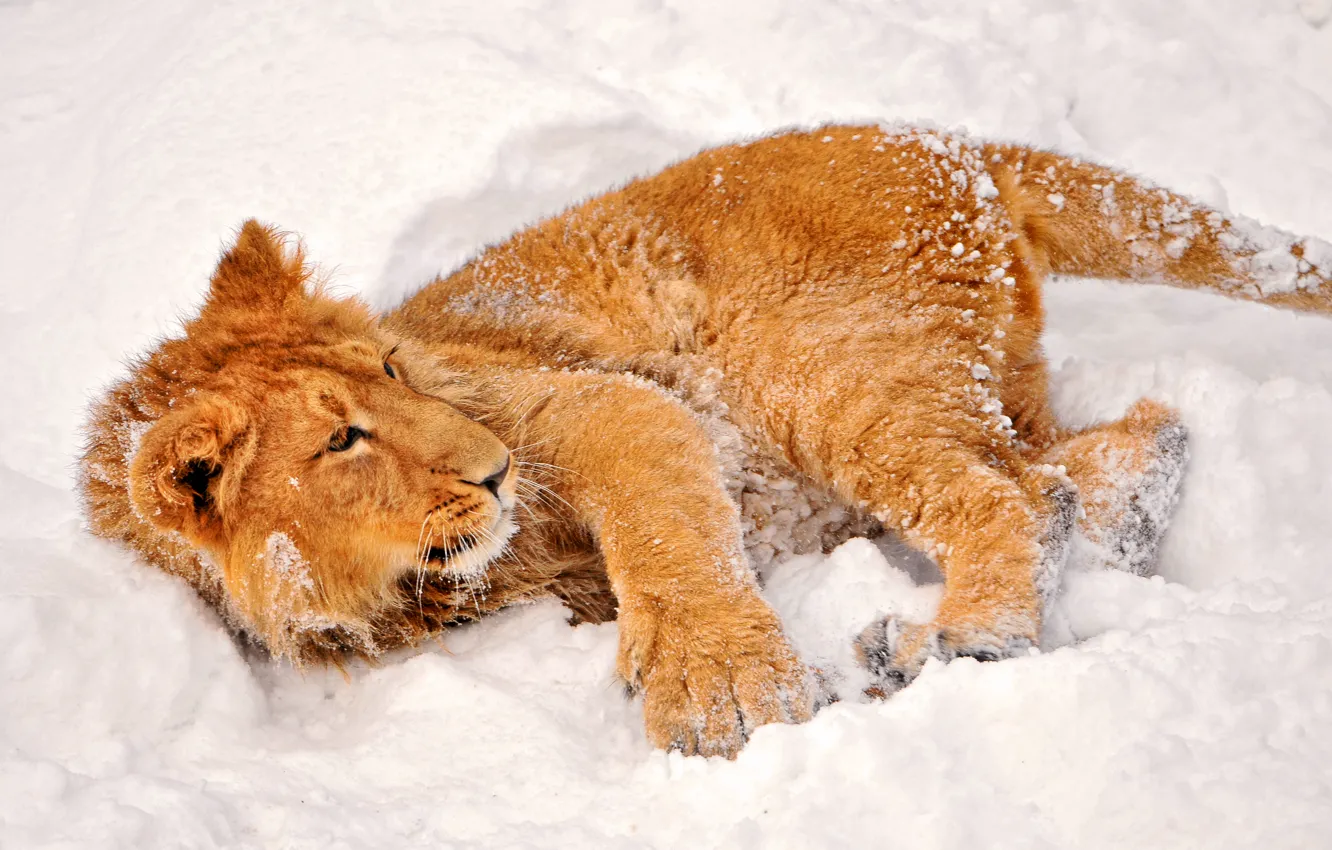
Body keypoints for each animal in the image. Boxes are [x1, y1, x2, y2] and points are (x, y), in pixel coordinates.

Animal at [80, 124, 1332, 758]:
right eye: (343, 439)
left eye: (391, 372)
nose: (490, 468)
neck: (400, 590)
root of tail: (946, 141)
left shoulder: (586, 404)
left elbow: (663, 528)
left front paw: (724, 689)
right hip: (968, 380)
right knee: (1105, 450)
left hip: (821, 375)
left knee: (1007, 496)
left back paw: (962, 639)